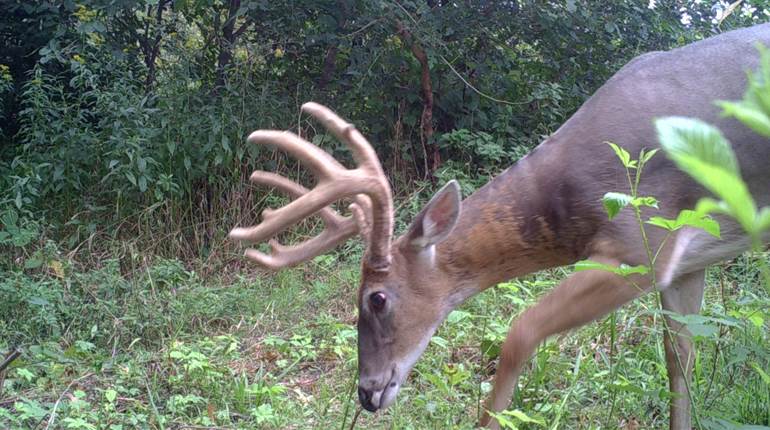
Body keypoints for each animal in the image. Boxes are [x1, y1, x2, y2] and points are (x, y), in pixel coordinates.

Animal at [229, 23, 770, 429]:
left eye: (376, 298)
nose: (366, 392)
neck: (569, 197)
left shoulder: (642, 243)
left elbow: (520, 332)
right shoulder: (687, 263)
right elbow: (680, 366)